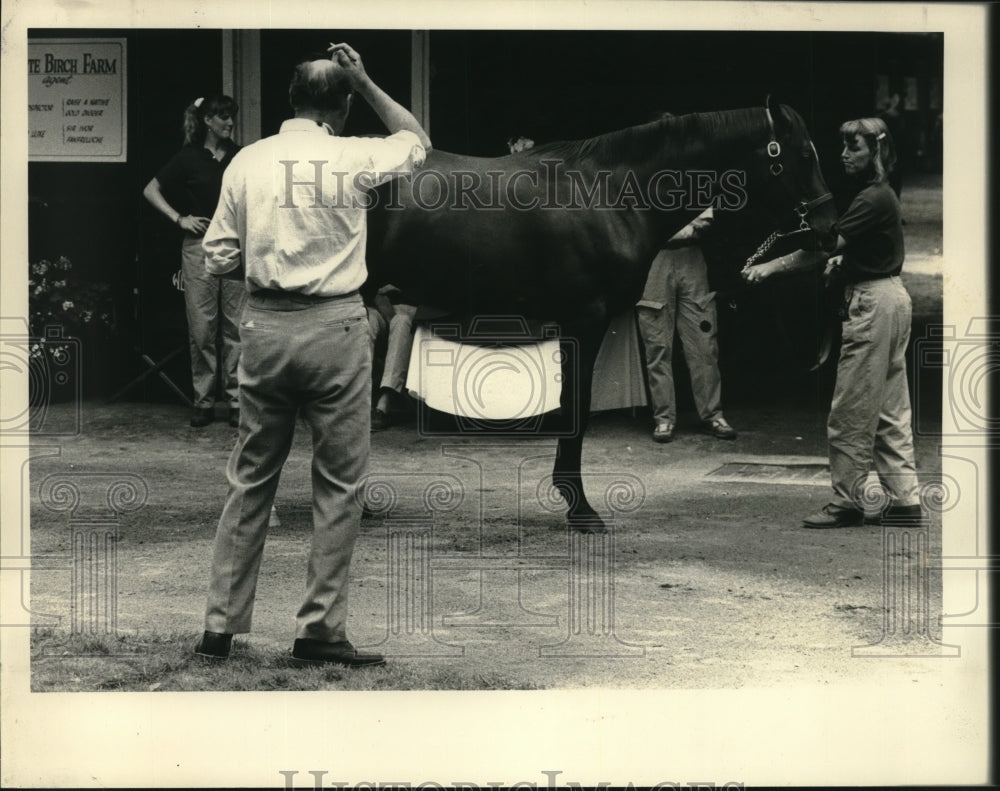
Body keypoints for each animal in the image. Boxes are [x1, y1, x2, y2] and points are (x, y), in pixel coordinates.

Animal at [364, 97, 840, 532]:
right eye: (804, 155)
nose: (829, 230)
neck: (608, 195)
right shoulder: (585, 320)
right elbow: (576, 406)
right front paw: (580, 508)